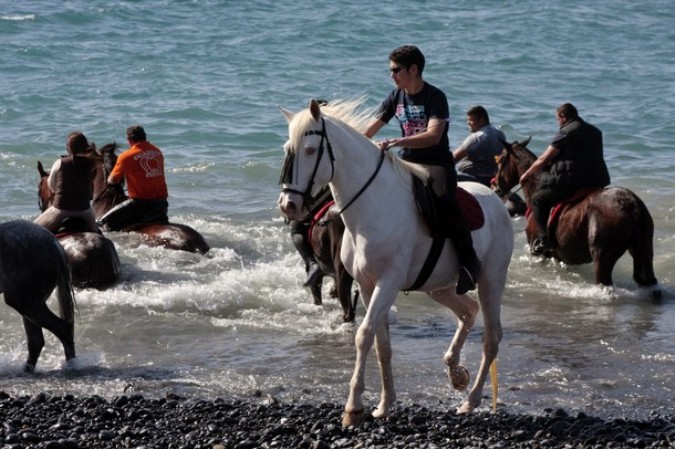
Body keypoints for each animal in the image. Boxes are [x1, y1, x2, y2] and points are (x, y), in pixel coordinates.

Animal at [278, 98, 516, 424]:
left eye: (311, 150)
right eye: (287, 148)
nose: (288, 205)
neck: (371, 206)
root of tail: (496, 201)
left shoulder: (387, 283)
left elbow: (364, 335)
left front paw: (353, 407)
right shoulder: (367, 286)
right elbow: (382, 345)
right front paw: (384, 403)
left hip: (491, 279)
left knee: (492, 336)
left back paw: (470, 400)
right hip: (439, 287)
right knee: (468, 311)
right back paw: (456, 372)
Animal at [492, 136, 660, 298]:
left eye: (500, 160)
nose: (495, 187)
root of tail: (631, 203)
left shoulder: (539, 254)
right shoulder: (558, 257)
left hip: (602, 260)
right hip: (644, 251)